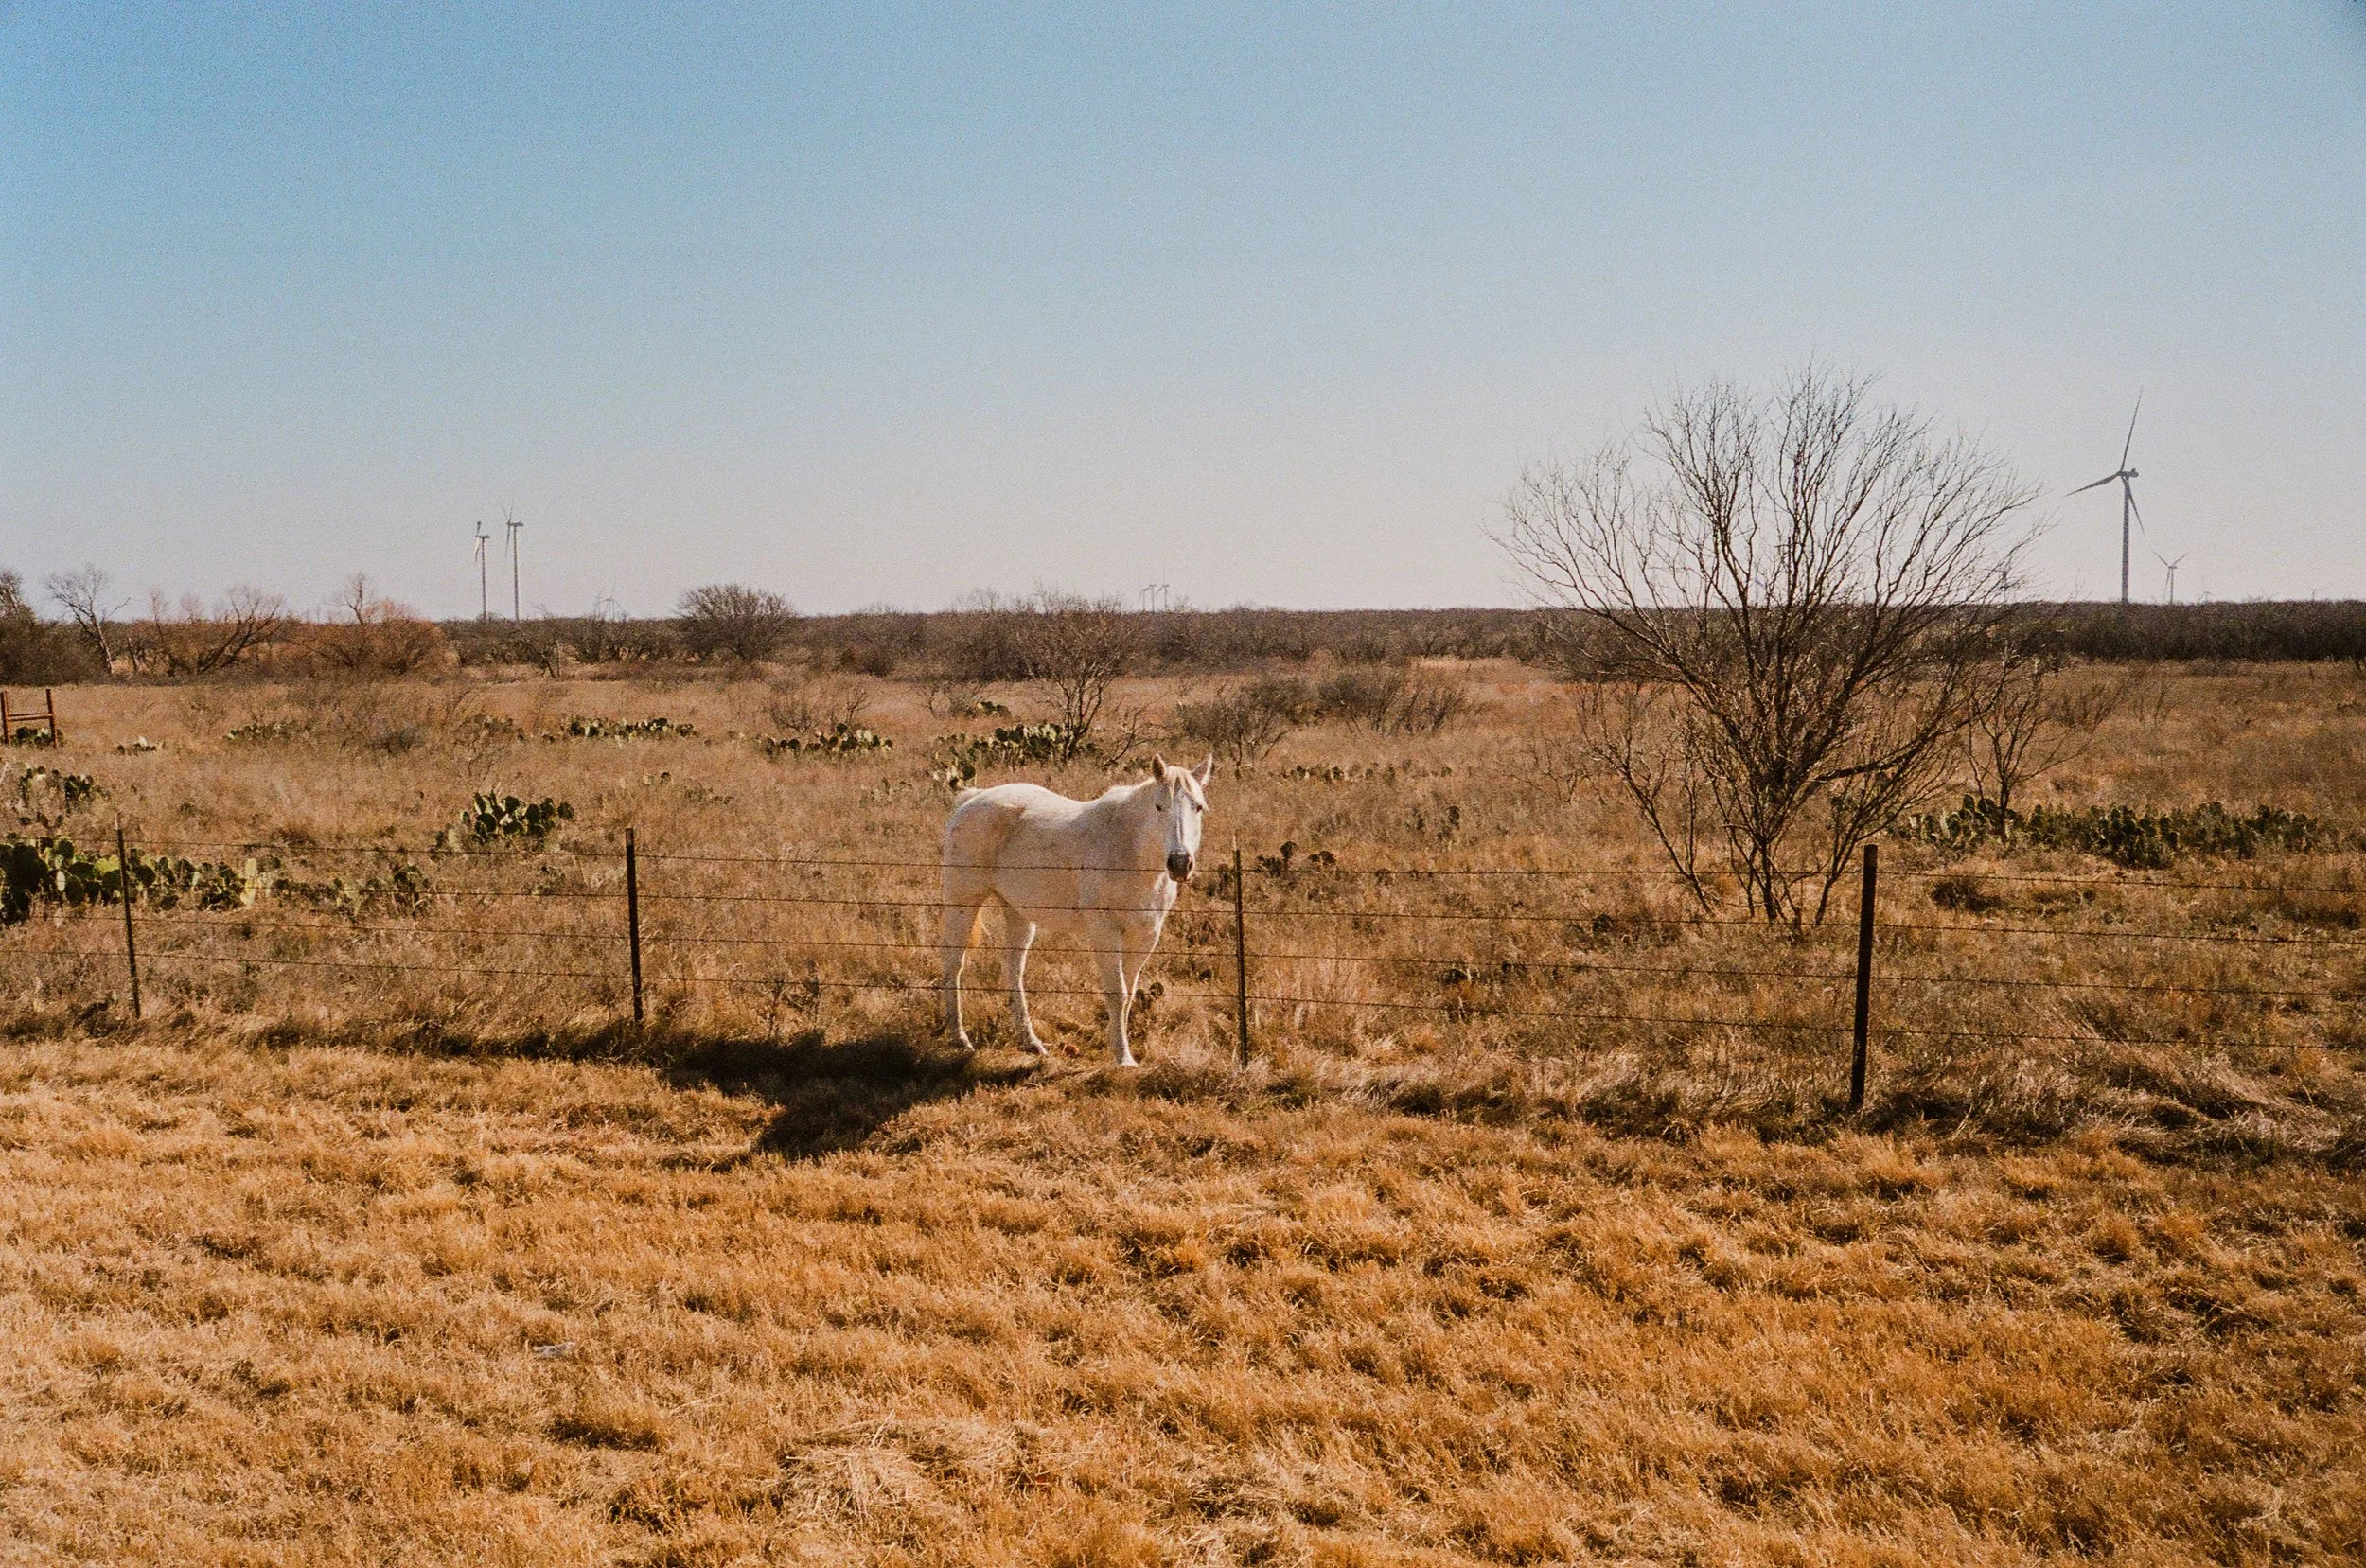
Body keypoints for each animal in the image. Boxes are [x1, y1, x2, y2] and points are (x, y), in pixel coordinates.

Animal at [939, 754, 1212, 1065]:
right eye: (1159, 806)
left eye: (1198, 807)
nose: (1180, 863)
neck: (1128, 851)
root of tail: (971, 799)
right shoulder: (1106, 933)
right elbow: (1117, 993)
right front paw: (1123, 1058)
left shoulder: (1144, 936)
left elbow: (1129, 993)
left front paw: (1120, 1048)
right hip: (963, 904)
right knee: (953, 964)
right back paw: (960, 1038)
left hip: (1018, 913)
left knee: (1012, 971)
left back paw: (1030, 1041)